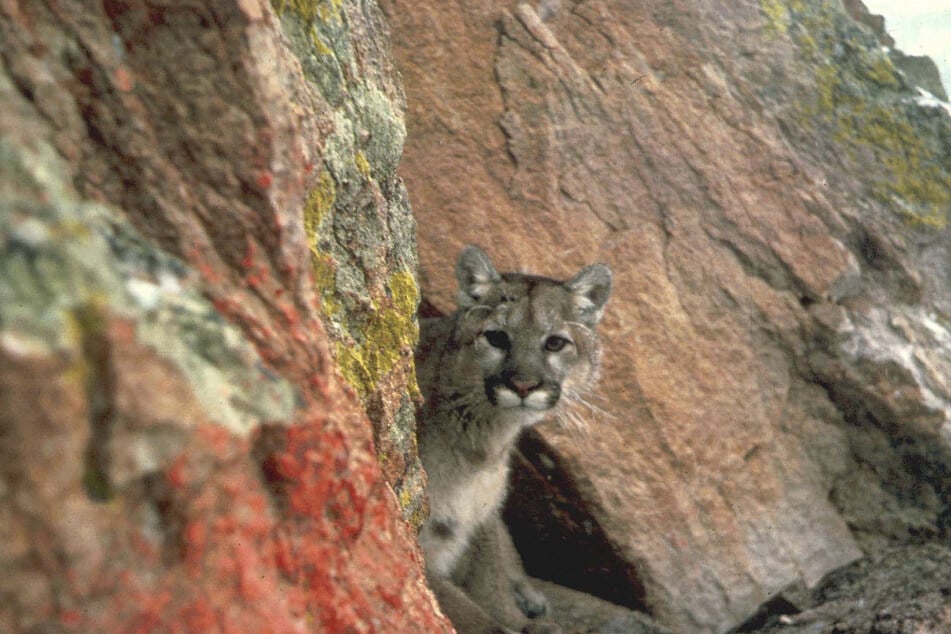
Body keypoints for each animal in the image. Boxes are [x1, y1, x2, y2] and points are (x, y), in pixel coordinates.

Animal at [414, 246, 608, 632]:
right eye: (497, 337)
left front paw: (520, 615)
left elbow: (491, 581)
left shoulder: (480, 520)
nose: (522, 385)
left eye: (555, 342)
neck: (483, 445)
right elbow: (472, 613)